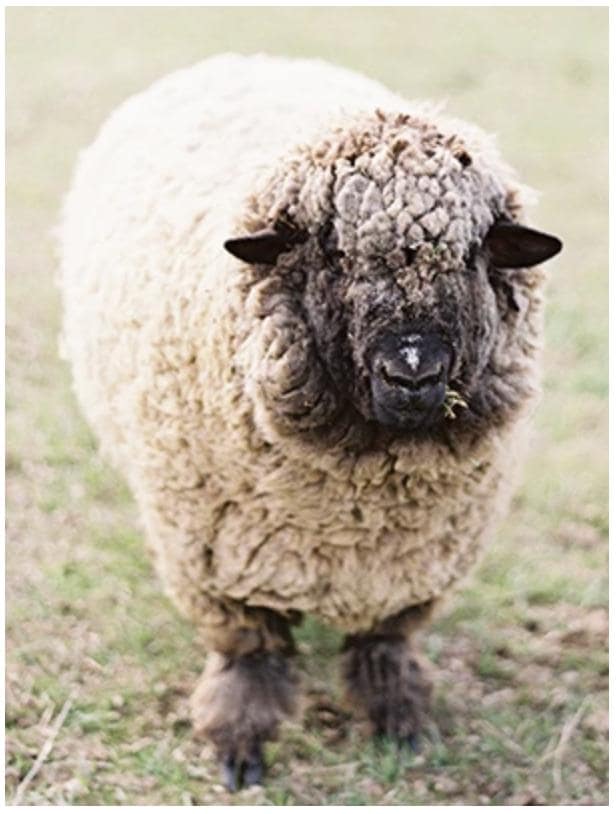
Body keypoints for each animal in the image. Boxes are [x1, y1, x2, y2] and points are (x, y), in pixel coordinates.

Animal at [59, 53, 562, 790]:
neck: (357, 511)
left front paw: (401, 728)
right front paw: (240, 749)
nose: (412, 373)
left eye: (473, 254)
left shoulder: (416, 564)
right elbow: (251, 656)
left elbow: (385, 645)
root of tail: (242, 58)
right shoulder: (217, 562)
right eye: (333, 256)